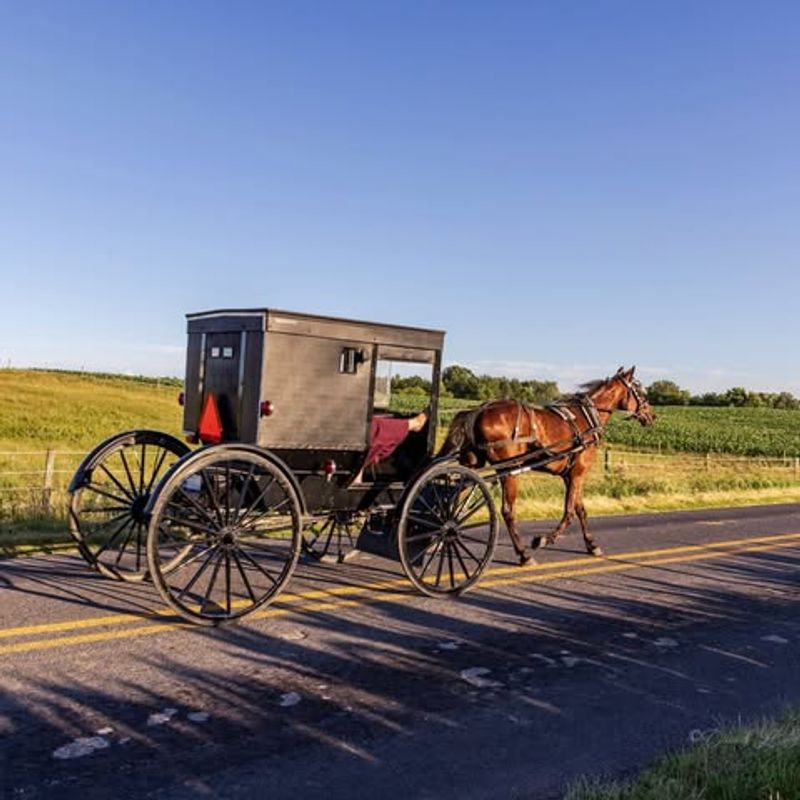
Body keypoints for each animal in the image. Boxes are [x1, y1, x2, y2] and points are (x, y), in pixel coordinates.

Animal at [438, 367, 655, 565]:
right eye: (640, 391)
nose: (652, 416)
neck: (587, 418)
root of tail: (479, 410)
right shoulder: (578, 474)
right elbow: (569, 513)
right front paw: (542, 540)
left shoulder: (571, 475)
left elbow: (580, 509)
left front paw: (592, 545)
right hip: (508, 471)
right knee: (507, 511)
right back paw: (523, 555)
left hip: (473, 463)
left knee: (453, 494)